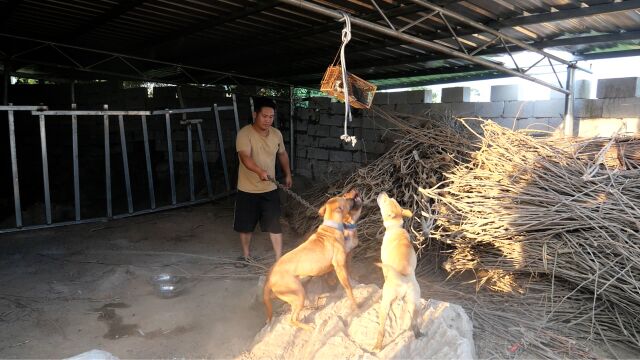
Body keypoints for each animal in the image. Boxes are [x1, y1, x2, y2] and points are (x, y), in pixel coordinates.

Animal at [372, 193, 422, 350]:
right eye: (390, 198)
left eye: (385, 200)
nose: (382, 193)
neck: (395, 228)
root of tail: (404, 279)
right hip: (414, 303)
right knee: (414, 322)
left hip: (385, 303)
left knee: (381, 329)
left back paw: (377, 347)